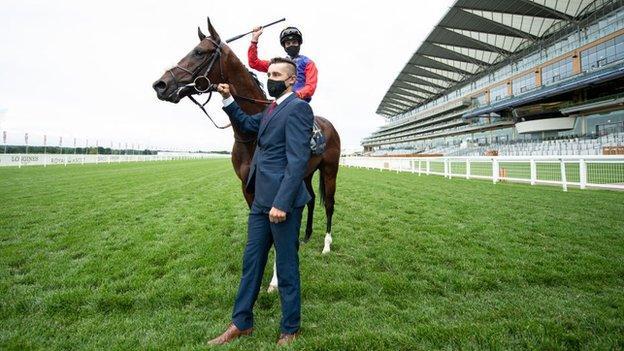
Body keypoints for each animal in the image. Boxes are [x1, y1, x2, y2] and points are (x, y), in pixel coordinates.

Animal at [155, 20, 342, 294]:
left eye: (199, 52)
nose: (160, 85)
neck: (252, 135)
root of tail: (329, 125)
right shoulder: (246, 186)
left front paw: (275, 280)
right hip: (305, 174)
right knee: (309, 200)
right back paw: (305, 236)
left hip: (330, 170)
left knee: (328, 203)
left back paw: (326, 245)